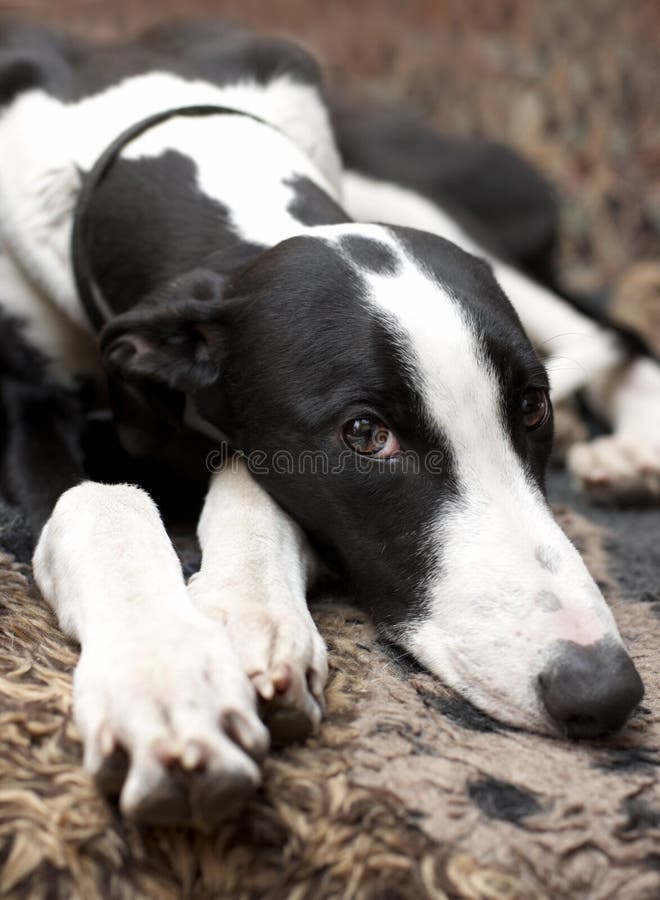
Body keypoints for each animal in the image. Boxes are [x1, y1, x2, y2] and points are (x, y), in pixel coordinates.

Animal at [0, 15, 656, 828]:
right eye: (367, 435)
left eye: (533, 407)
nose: (604, 690)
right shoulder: (23, 413)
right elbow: (98, 501)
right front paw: (166, 684)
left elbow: (248, 472)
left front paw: (248, 611)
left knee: (608, 329)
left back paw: (636, 448)